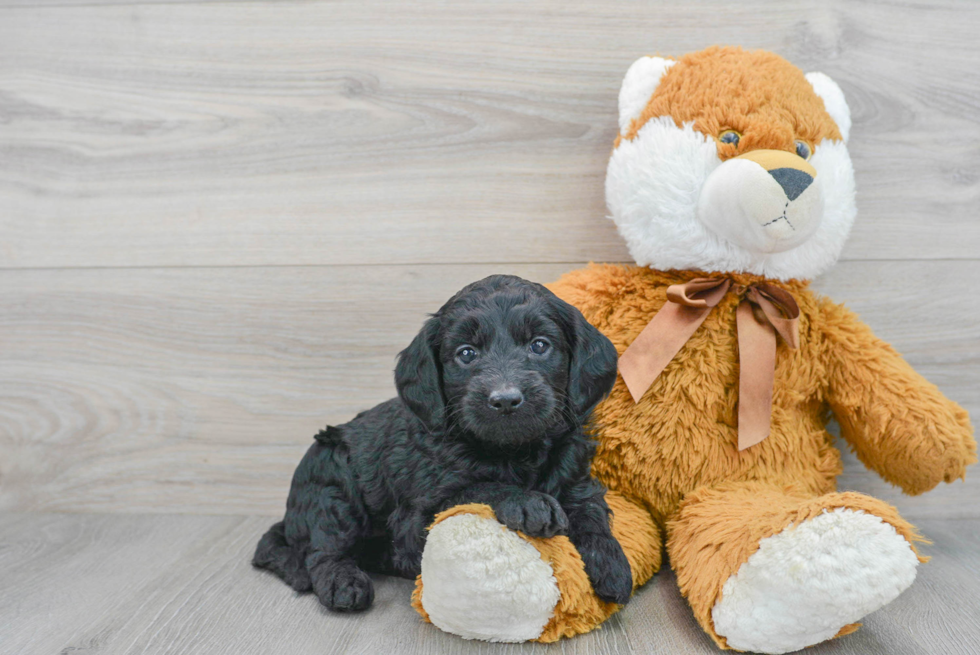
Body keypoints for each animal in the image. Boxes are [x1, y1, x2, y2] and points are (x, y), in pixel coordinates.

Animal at [253, 274, 632, 612]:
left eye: (539, 345)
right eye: (466, 354)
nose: (505, 400)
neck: (514, 451)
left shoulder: (577, 480)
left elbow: (591, 511)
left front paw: (613, 564)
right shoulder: (419, 512)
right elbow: (477, 489)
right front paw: (527, 503)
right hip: (331, 482)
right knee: (322, 550)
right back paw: (343, 583)